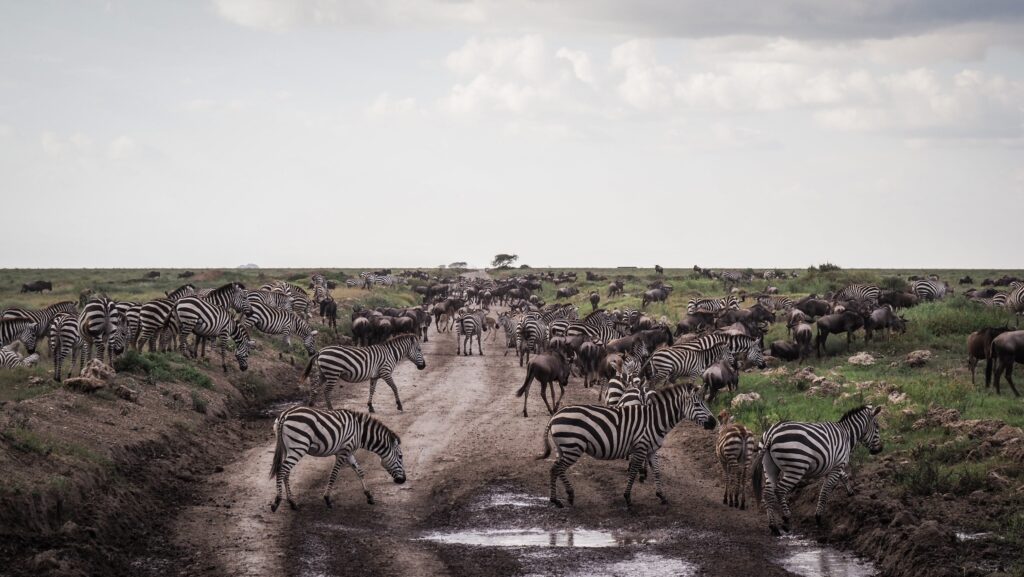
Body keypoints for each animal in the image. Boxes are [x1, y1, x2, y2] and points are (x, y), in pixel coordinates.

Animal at [268, 403, 403, 512]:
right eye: (401, 457)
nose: (403, 480)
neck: (360, 433)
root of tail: (285, 415)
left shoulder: (349, 452)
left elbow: (360, 471)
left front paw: (369, 496)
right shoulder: (343, 452)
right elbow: (334, 474)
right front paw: (327, 499)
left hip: (288, 449)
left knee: (286, 472)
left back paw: (292, 502)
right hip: (299, 447)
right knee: (282, 470)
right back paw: (277, 501)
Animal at [540, 385, 716, 508]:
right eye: (697, 404)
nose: (714, 423)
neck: (655, 420)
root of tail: (555, 416)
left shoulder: (651, 450)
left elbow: (657, 472)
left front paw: (661, 496)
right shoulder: (640, 448)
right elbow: (632, 472)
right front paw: (628, 498)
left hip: (564, 448)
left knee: (557, 469)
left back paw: (567, 496)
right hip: (573, 446)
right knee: (556, 469)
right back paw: (556, 500)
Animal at [749, 403, 884, 537]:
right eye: (877, 426)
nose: (880, 450)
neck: (846, 434)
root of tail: (771, 432)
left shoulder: (836, 464)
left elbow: (844, 476)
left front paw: (851, 492)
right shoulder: (837, 465)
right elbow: (825, 492)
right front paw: (818, 517)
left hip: (770, 467)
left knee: (768, 493)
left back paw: (773, 527)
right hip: (796, 468)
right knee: (780, 490)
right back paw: (787, 519)